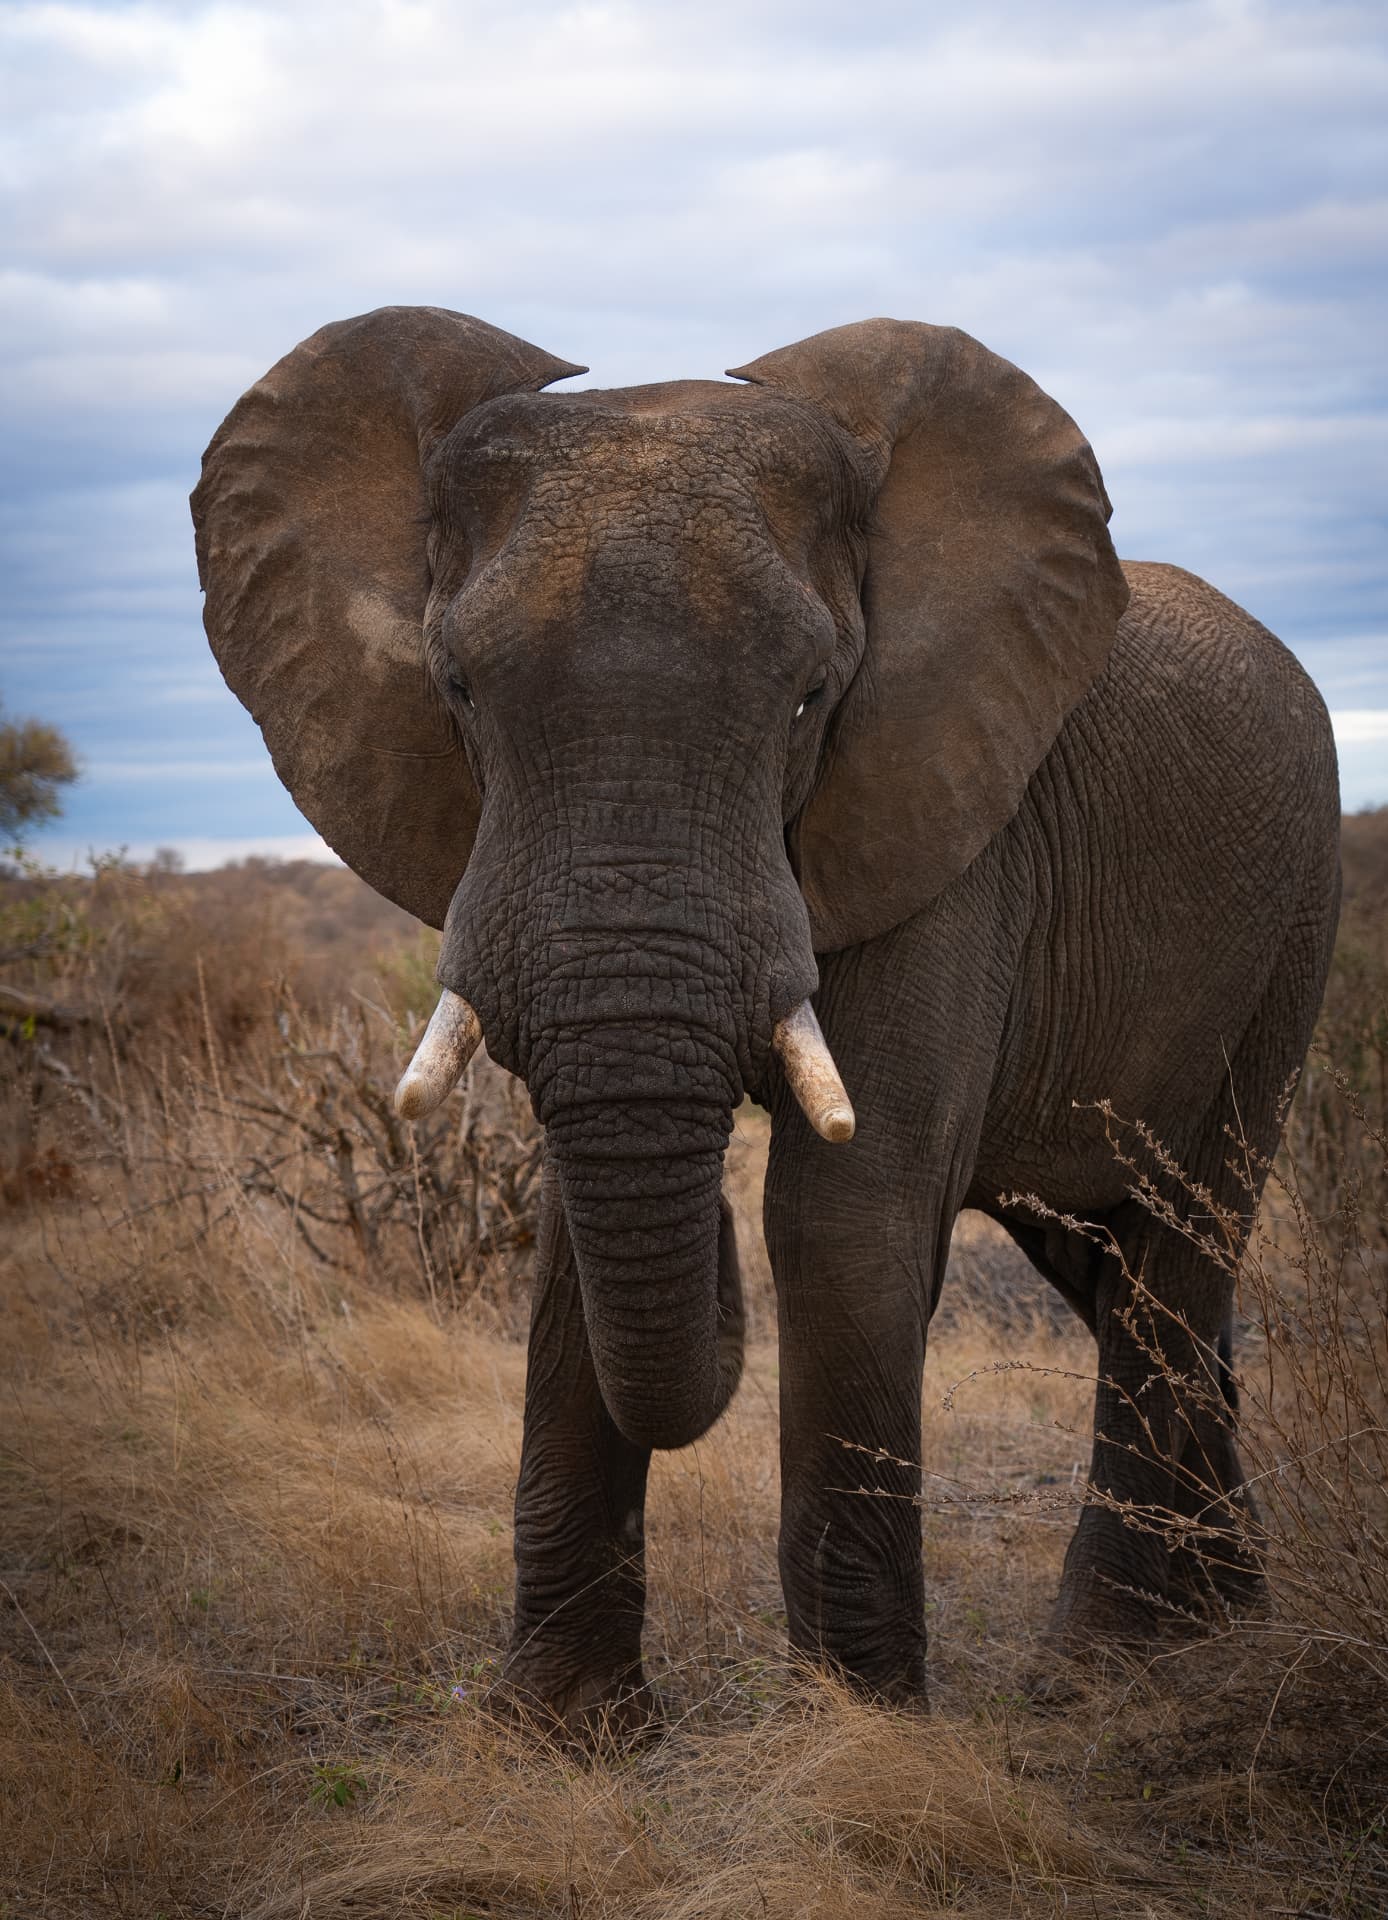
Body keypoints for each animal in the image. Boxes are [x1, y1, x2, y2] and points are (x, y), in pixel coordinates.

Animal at [191, 307, 1339, 1727]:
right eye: (454, 690)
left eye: (809, 698)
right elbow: (572, 1237)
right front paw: (562, 1734)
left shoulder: (949, 827)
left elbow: (839, 1214)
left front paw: (859, 1736)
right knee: (1107, 1261)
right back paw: (1221, 1630)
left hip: (1290, 927)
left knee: (1177, 1243)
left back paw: (1103, 1672)